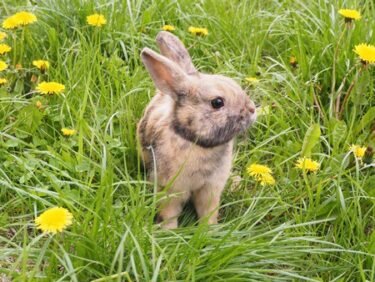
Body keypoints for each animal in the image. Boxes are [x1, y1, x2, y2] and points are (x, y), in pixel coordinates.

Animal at [138, 31, 258, 229]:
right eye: (217, 102)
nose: (252, 110)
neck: (197, 142)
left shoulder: (210, 188)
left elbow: (208, 211)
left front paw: (209, 230)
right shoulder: (171, 188)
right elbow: (169, 212)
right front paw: (169, 231)